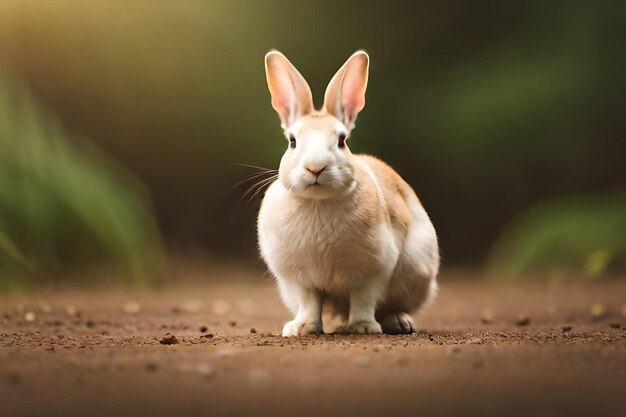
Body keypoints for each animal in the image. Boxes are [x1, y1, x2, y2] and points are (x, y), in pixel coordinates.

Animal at [256, 49, 436, 334]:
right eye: (292, 141)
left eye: (341, 140)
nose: (315, 167)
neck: (318, 202)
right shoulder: (299, 279)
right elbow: (309, 302)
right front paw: (302, 328)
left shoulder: (373, 271)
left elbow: (364, 299)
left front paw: (363, 327)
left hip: (416, 269)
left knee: (390, 305)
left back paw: (397, 322)